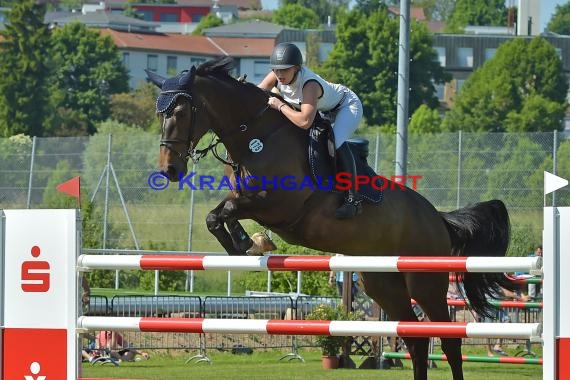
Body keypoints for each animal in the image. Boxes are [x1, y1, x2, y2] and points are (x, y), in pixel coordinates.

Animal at [145, 57, 510, 380]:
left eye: (180, 111)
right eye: (160, 113)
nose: (170, 170)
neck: (256, 136)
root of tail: (438, 218)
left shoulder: (280, 205)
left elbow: (227, 211)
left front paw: (248, 243)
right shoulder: (249, 199)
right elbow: (218, 214)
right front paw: (247, 244)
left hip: (426, 281)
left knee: (448, 339)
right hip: (382, 284)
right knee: (415, 339)